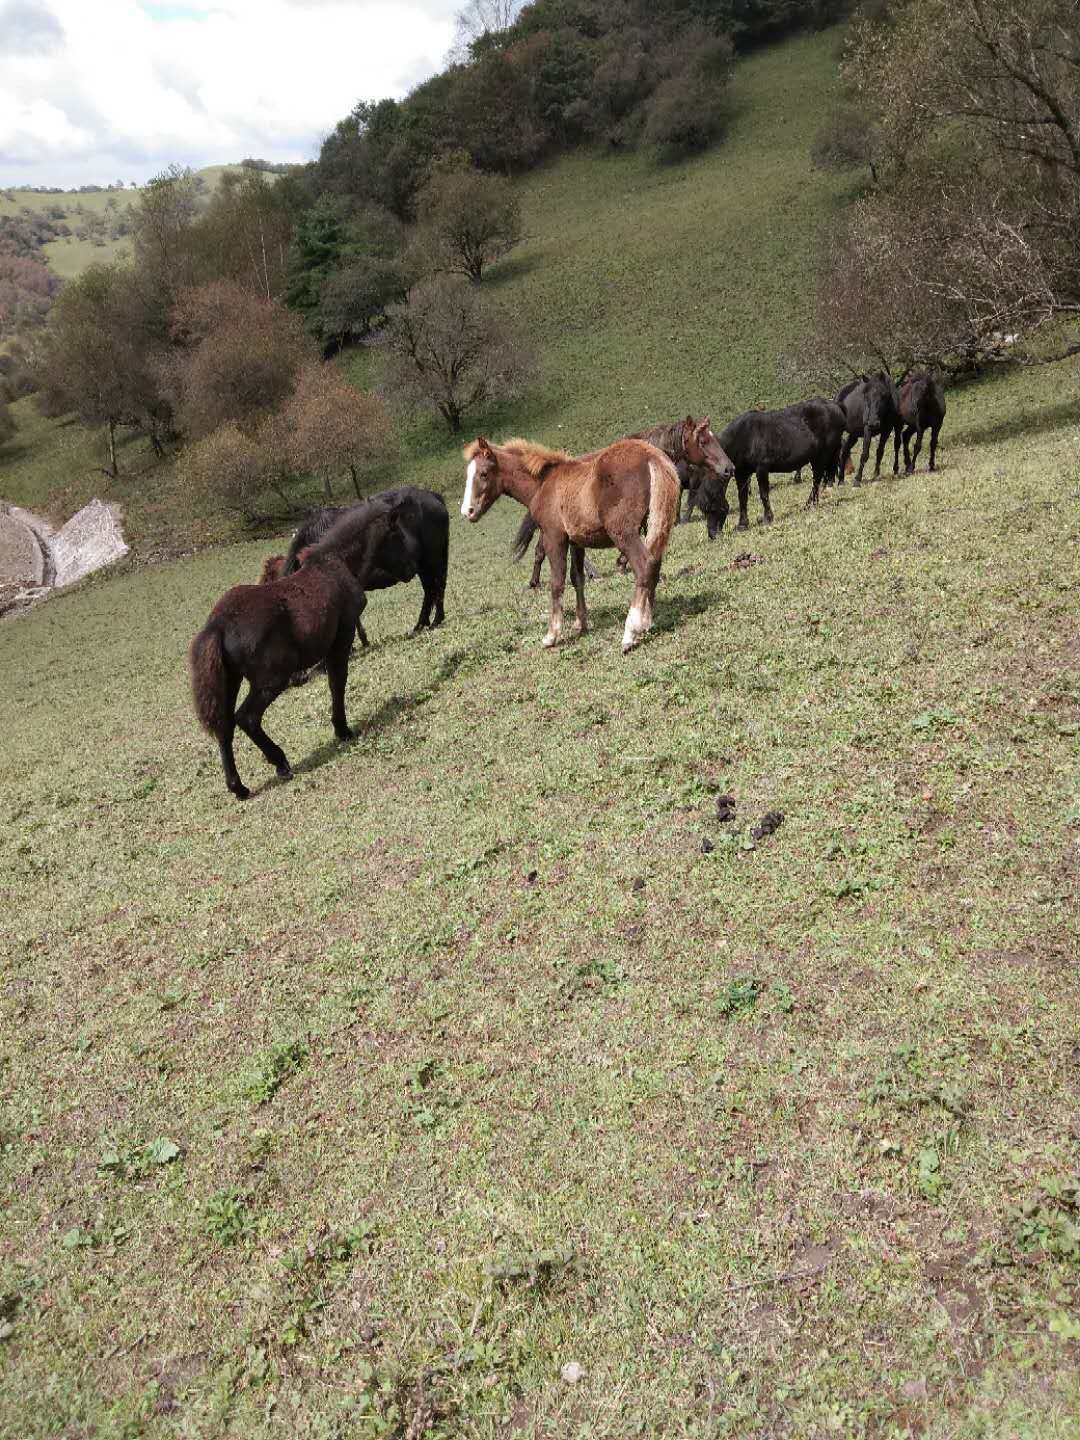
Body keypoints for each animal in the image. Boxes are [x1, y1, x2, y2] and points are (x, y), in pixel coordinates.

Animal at [192, 504, 417, 800]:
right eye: (397, 535)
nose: (412, 569)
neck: (333, 563)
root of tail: (217, 624)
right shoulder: (342, 635)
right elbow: (337, 681)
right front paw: (342, 729)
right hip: (272, 680)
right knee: (247, 718)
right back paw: (280, 762)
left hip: (231, 681)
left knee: (224, 726)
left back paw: (239, 787)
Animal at [279, 486, 452, 633]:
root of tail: (434, 497)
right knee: (431, 589)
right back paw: (423, 623)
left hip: (433, 560)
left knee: (437, 586)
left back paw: (433, 620)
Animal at [460, 429, 679, 650]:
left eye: (483, 473)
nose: (467, 511)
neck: (543, 484)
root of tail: (651, 456)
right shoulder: (576, 541)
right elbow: (577, 578)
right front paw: (581, 623)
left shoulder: (553, 537)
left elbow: (557, 582)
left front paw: (552, 635)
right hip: (653, 526)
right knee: (654, 565)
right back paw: (647, 621)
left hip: (624, 532)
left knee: (644, 566)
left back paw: (630, 632)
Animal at [688, 400, 852, 535]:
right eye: (703, 510)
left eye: (711, 507)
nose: (712, 535)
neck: (744, 436)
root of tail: (835, 405)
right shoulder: (741, 473)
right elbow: (742, 498)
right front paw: (742, 524)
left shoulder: (762, 468)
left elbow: (764, 494)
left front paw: (767, 517)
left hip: (823, 454)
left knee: (817, 478)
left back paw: (810, 504)